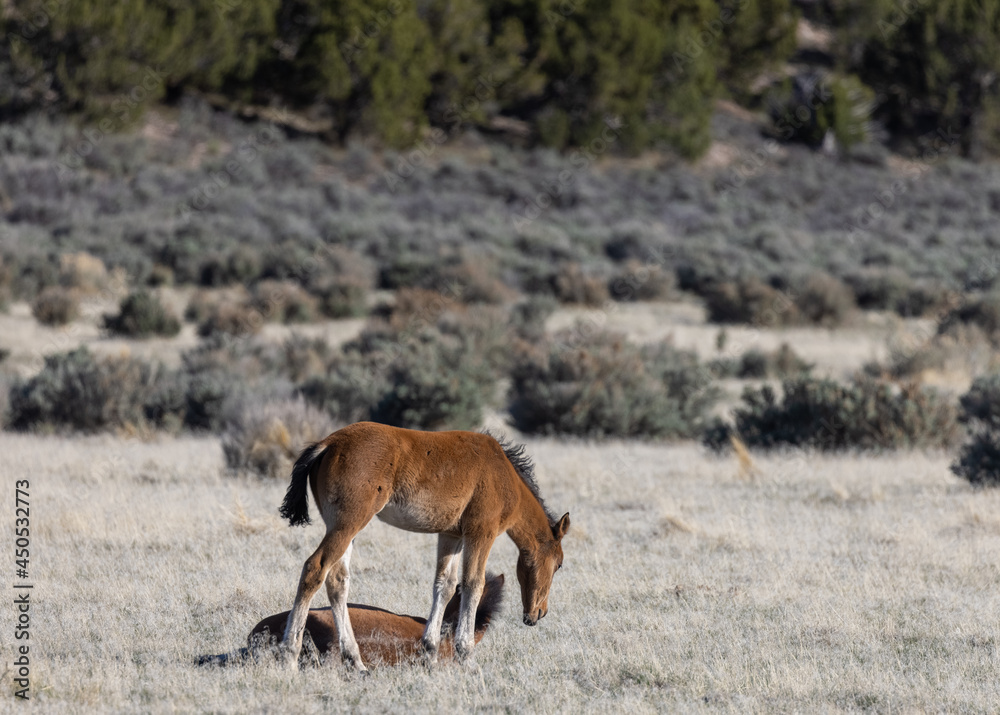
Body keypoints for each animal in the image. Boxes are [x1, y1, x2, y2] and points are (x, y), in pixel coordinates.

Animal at [278, 421, 570, 672]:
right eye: (559, 565)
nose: (538, 613)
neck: (503, 475)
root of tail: (327, 443)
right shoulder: (480, 533)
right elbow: (473, 585)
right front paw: (466, 655)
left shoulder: (451, 535)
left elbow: (445, 585)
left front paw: (430, 654)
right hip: (348, 523)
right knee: (314, 569)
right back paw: (290, 655)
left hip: (343, 528)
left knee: (337, 581)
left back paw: (356, 661)